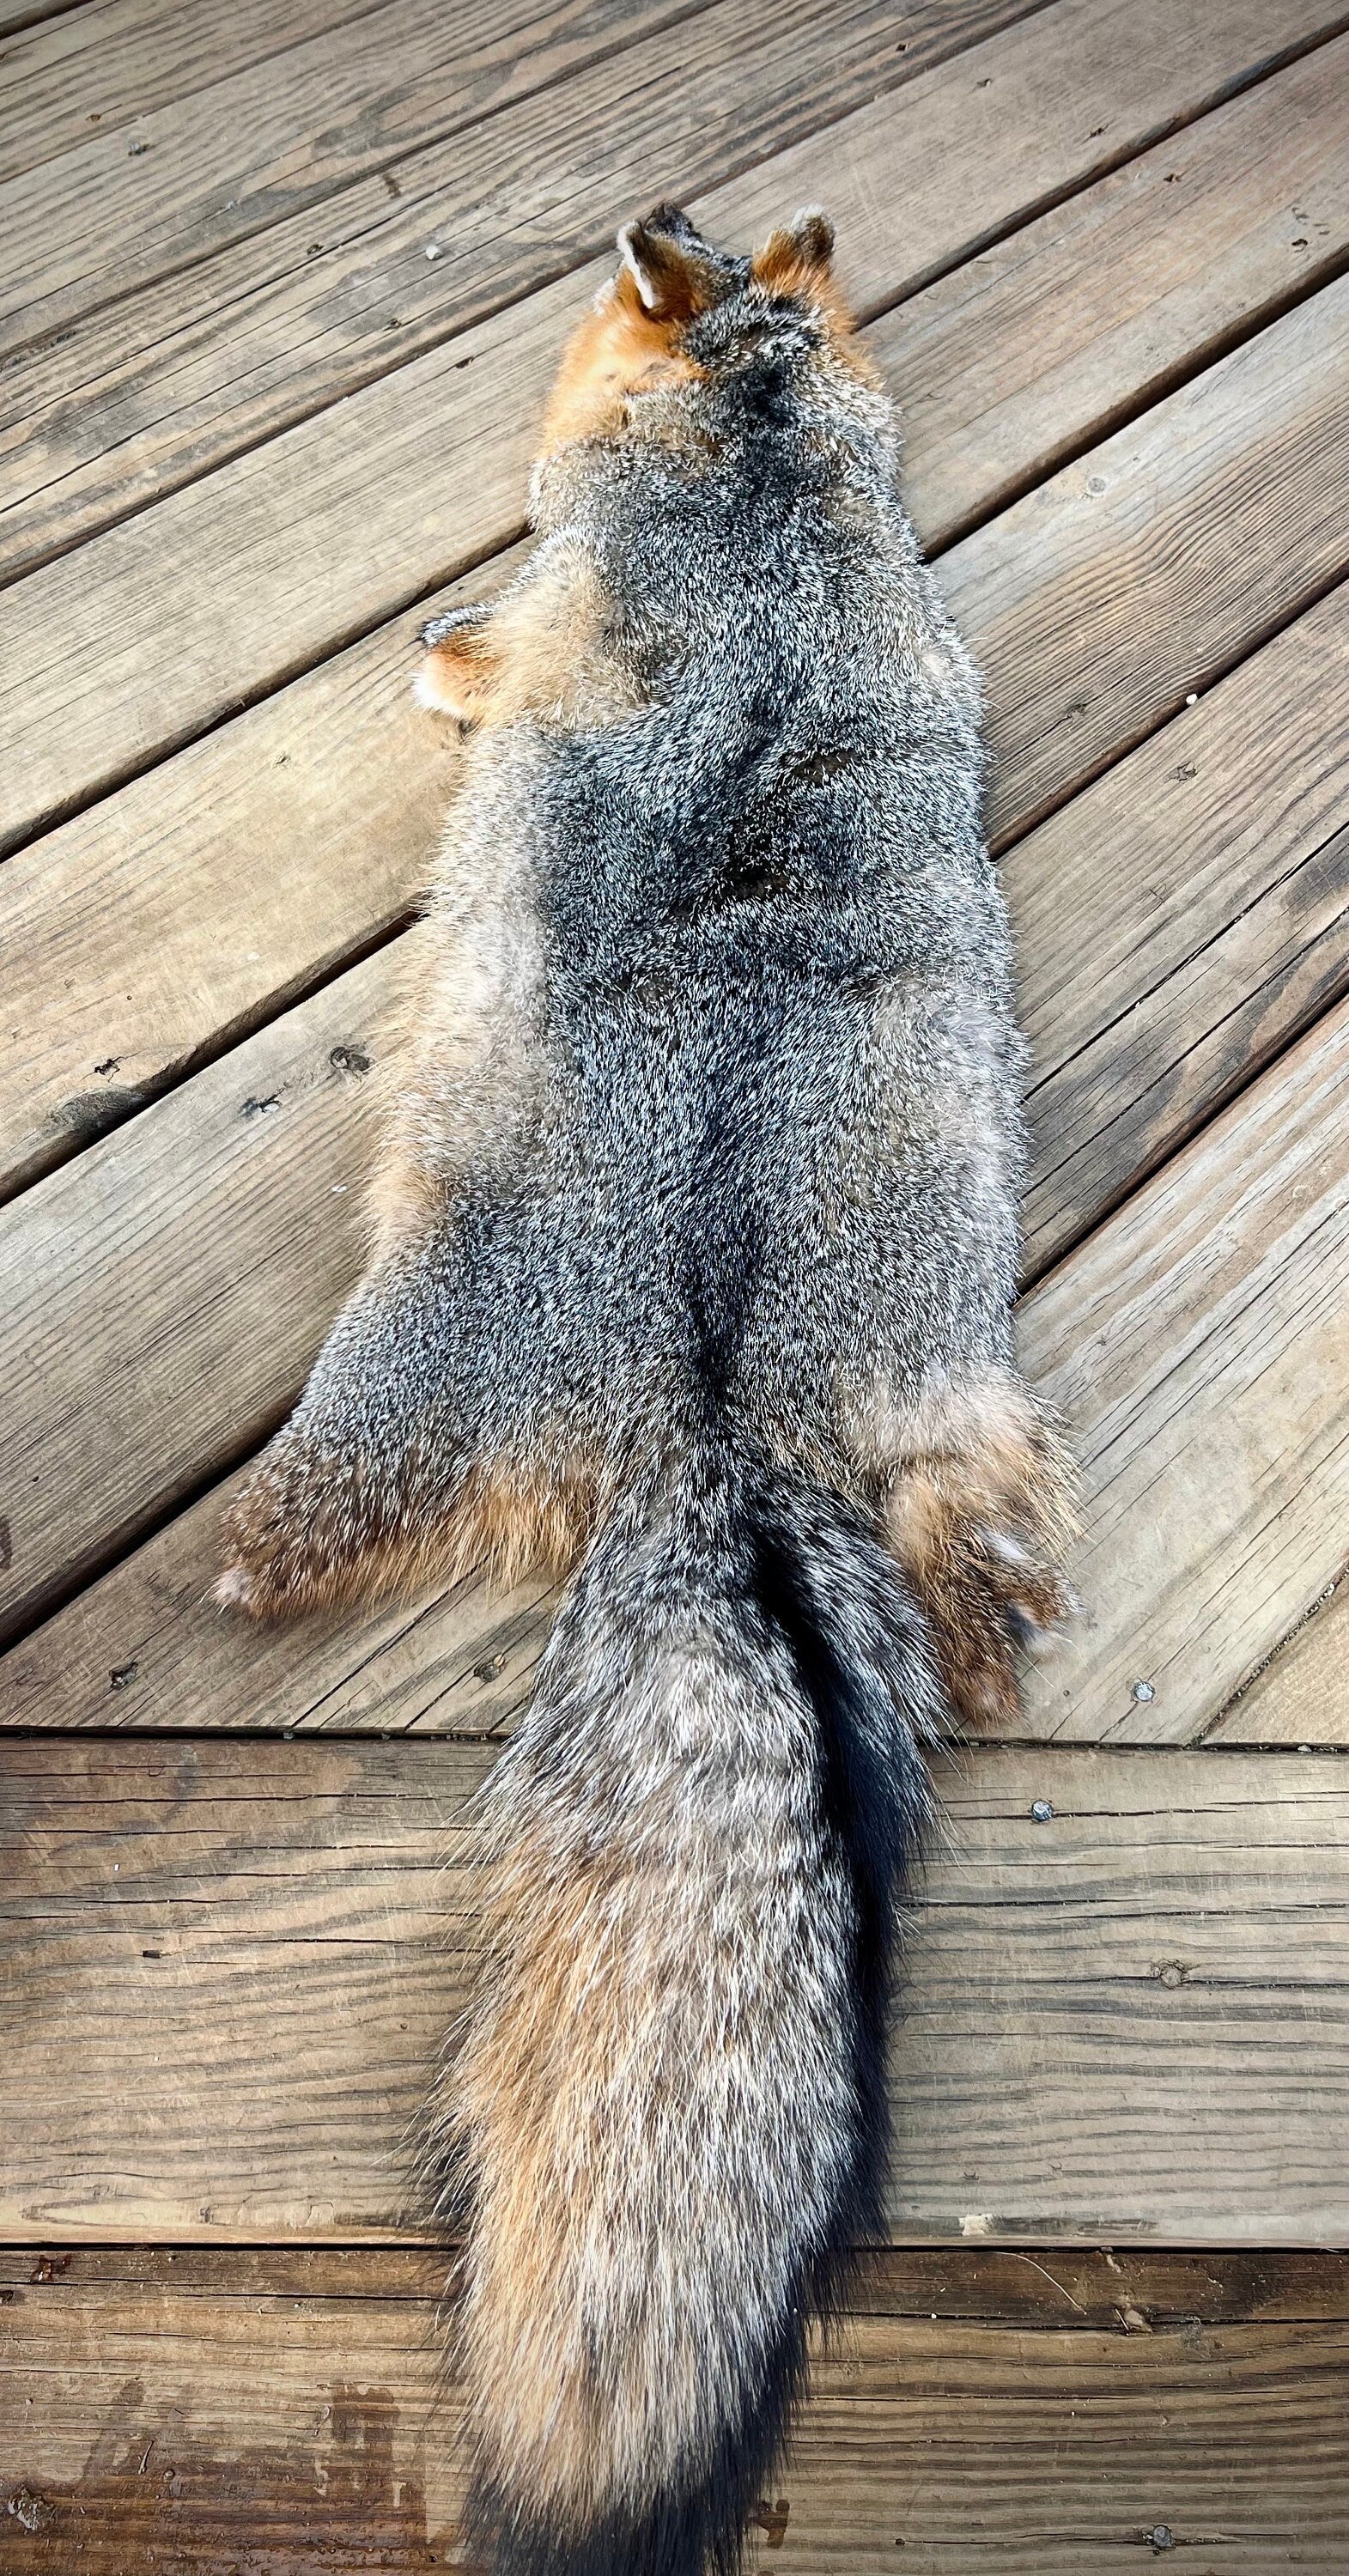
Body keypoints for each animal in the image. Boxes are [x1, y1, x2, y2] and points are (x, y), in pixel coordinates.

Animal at [218, 204, 1074, 2576]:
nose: (659, 222)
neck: (760, 443)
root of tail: (714, 1404)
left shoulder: (559, 592)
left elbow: (498, 646)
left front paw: (442, 666)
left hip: (374, 1381)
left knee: (289, 1532)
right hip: (948, 1413)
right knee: (984, 1566)